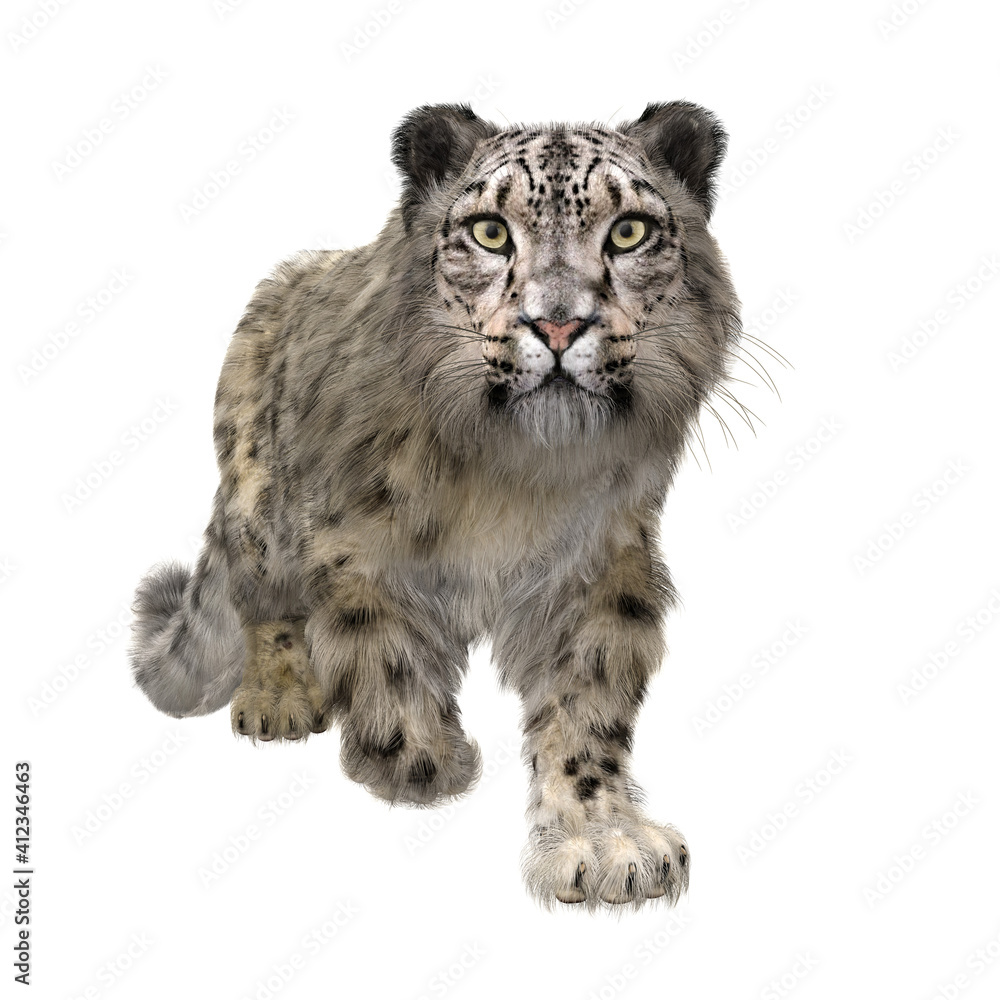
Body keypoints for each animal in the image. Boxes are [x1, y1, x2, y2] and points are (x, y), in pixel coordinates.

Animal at [130, 101, 742, 910]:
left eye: (628, 231)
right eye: (490, 232)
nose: (557, 324)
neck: (516, 479)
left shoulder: (602, 563)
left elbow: (588, 705)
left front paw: (607, 843)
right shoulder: (360, 548)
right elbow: (384, 655)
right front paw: (419, 766)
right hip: (260, 507)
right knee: (266, 600)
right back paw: (282, 697)